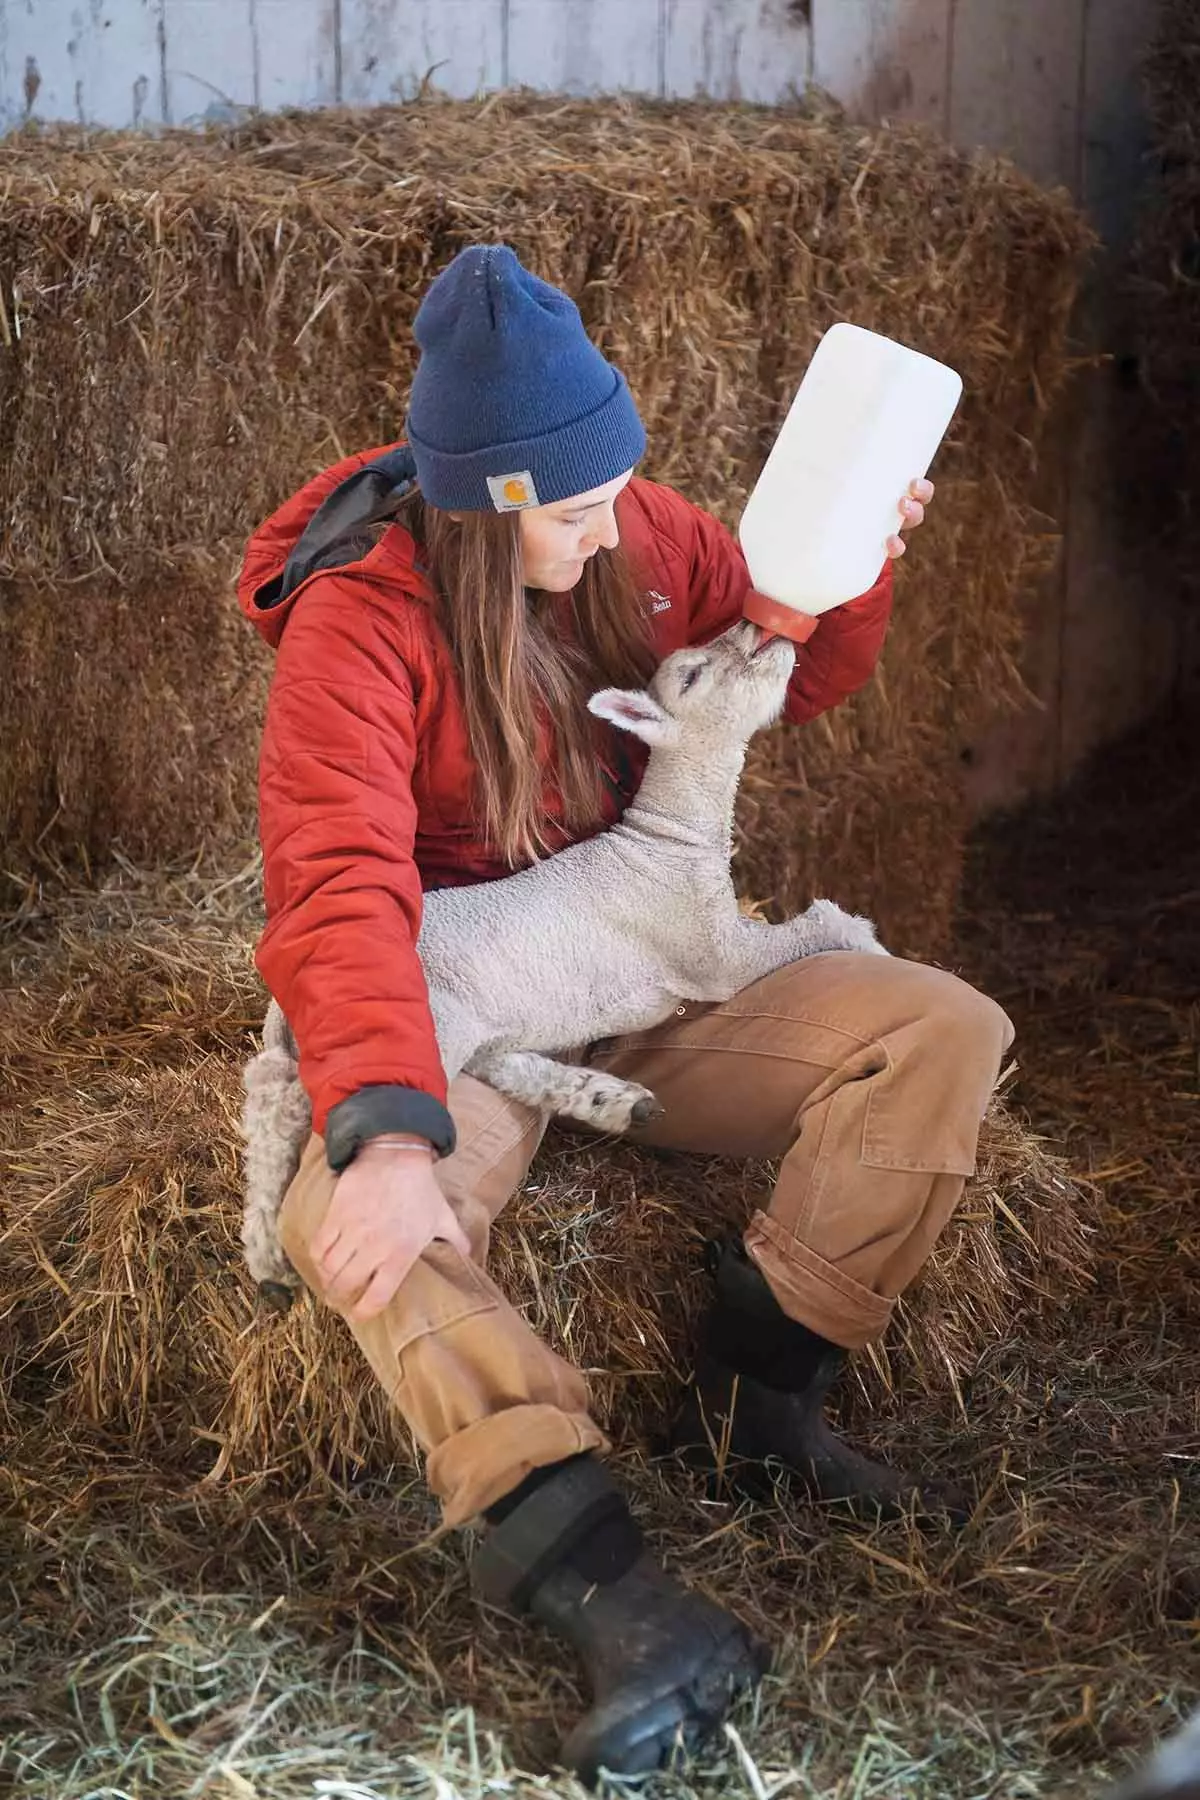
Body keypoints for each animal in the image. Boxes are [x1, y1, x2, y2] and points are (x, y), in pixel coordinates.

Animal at [244, 622, 888, 1296]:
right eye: (692, 674)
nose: (753, 628)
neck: (670, 843)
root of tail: (288, 998)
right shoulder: (712, 949)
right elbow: (814, 925)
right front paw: (869, 939)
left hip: (468, 1024)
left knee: (277, 1094)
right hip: (427, 1024)